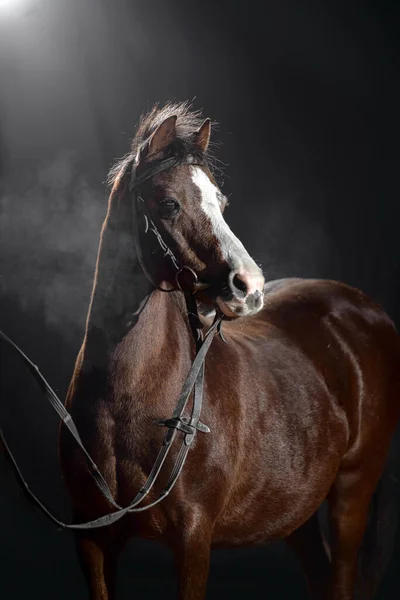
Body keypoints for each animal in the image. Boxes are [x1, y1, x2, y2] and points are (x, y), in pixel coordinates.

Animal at [57, 103, 400, 600]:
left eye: (220, 203)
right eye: (169, 203)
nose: (249, 287)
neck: (126, 401)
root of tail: (367, 310)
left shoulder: (193, 538)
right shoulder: (92, 540)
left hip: (351, 494)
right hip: (295, 510)